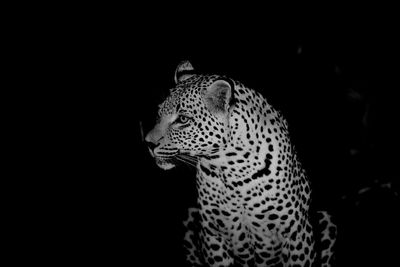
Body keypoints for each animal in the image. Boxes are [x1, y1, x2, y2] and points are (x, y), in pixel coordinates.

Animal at [145, 61, 336, 267]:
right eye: (159, 113)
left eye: (182, 119)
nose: (148, 143)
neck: (231, 169)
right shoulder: (213, 234)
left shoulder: (296, 235)